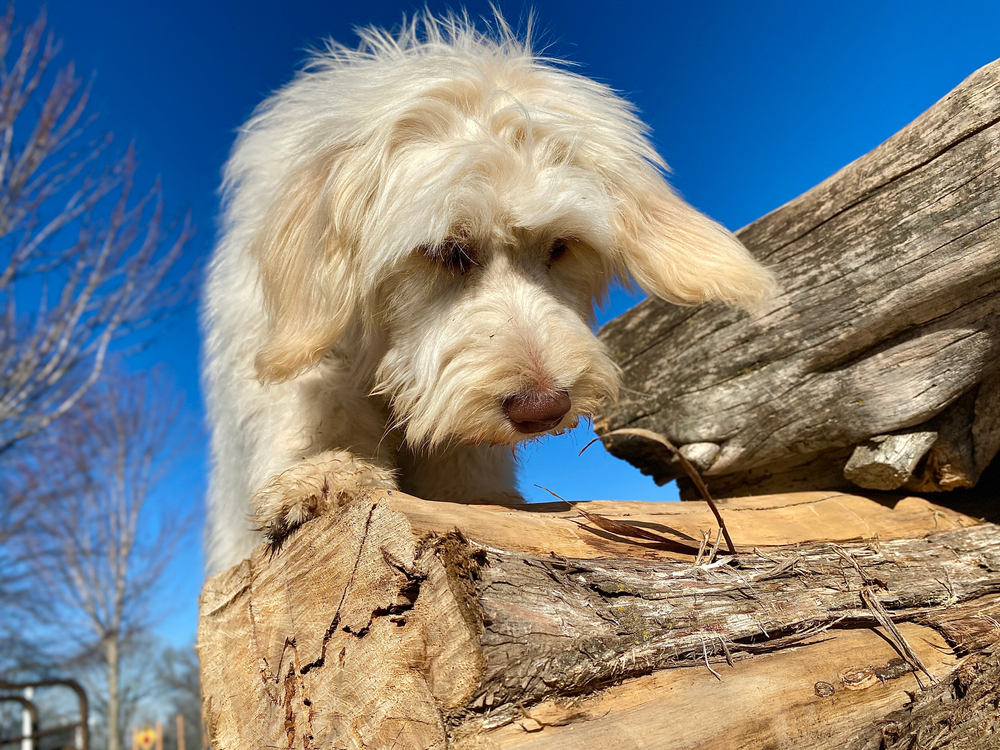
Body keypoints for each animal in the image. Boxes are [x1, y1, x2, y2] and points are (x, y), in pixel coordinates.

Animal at [203, 14, 776, 572]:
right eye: (448, 251)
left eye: (561, 245)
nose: (543, 410)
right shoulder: (305, 372)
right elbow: (311, 418)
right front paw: (324, 474)